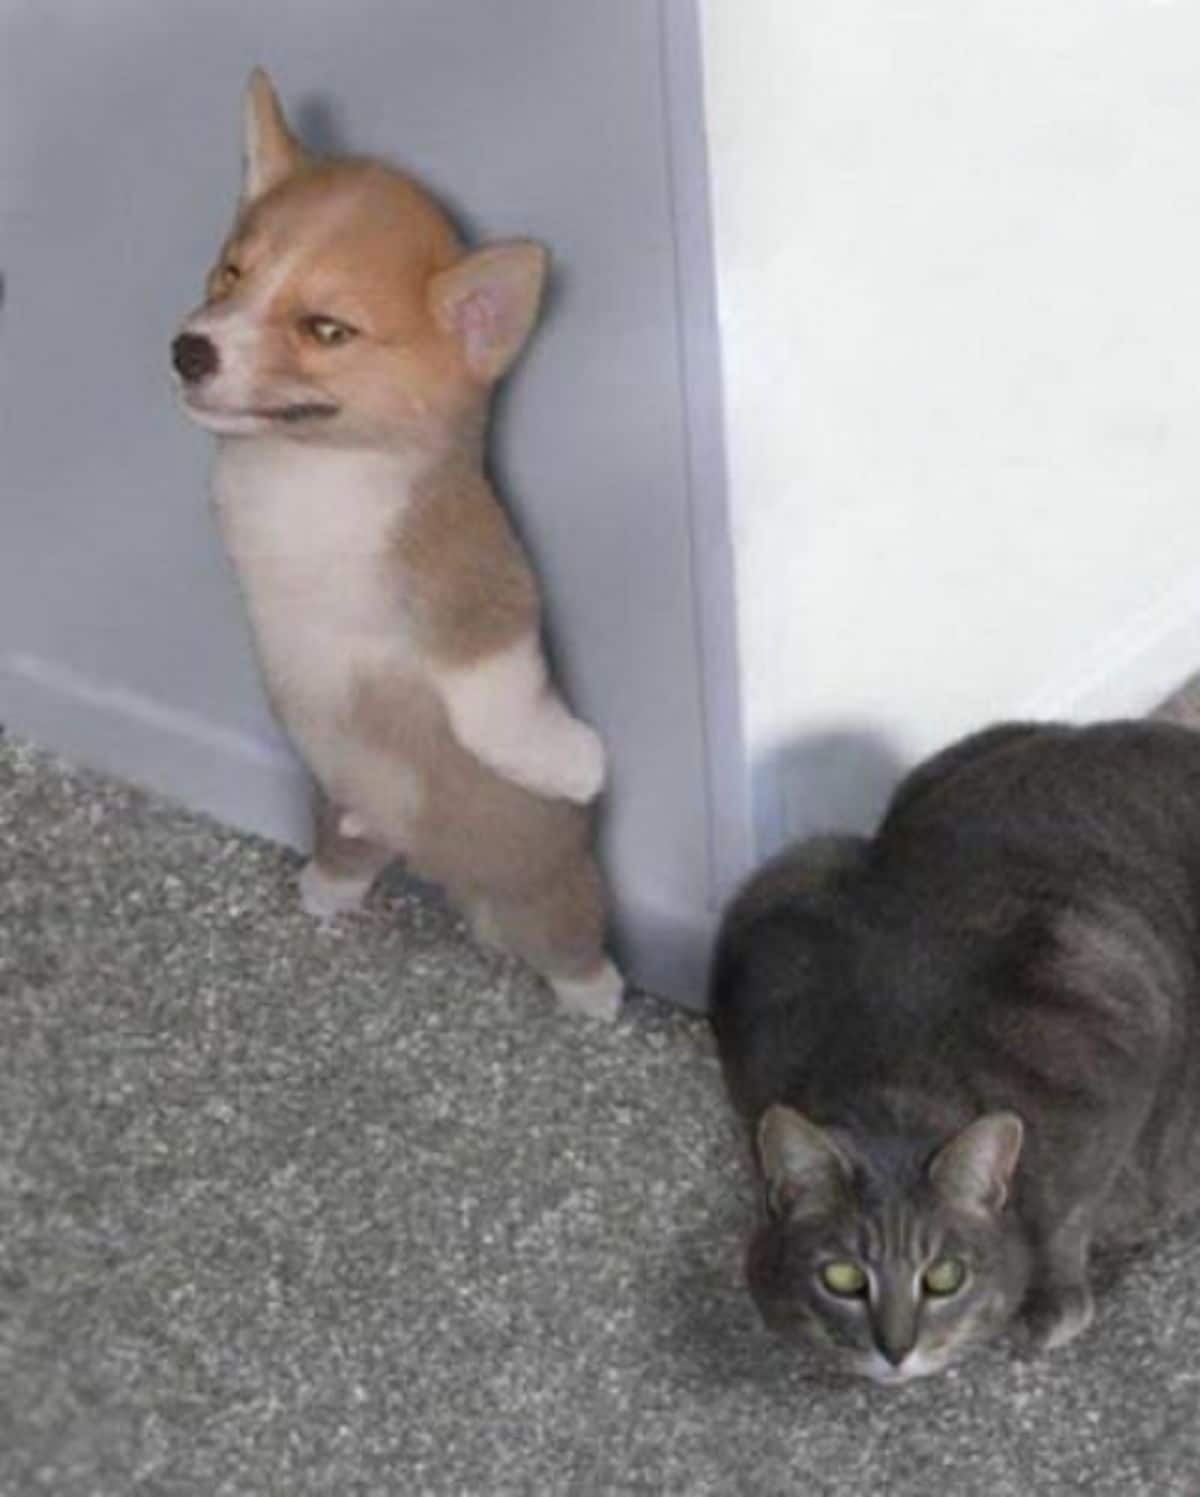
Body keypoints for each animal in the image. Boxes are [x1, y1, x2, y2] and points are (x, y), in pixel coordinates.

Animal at [175, 72, 625, 1029]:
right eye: (233, 272)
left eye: (326, 329)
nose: (189, 350)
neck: (318, 476)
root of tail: (428, 863)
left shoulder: (484, 595)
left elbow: (494, 698)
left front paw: (573, 764)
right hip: (342, 814)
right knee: (349, 856)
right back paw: (325, 887)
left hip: (549, 899)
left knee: (568, 941)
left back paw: (597, 992)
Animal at [706, 718, 1197, 1383]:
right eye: (843, 1279)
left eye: (941, 1278)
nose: (895, 1349)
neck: (894, 1068)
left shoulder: (1120, 1024)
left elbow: (1068, 1211)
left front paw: (1051, 1299)